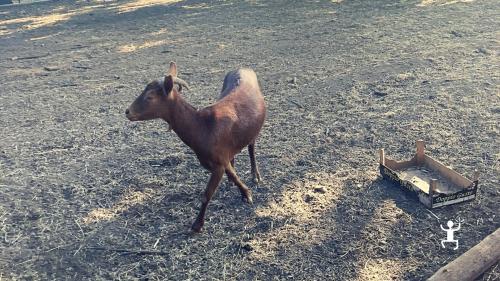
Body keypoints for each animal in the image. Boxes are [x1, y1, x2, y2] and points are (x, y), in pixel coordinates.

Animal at [126, 62, 266, 231]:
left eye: (150, 97)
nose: (127, 112)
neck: (203, 129)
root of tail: (244, 68)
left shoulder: (218, 162)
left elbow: (206, 194)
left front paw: (197, 225)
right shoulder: (219, 156)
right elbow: (232, 173)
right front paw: (245, 193)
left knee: (252, 146)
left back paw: (255, 176)